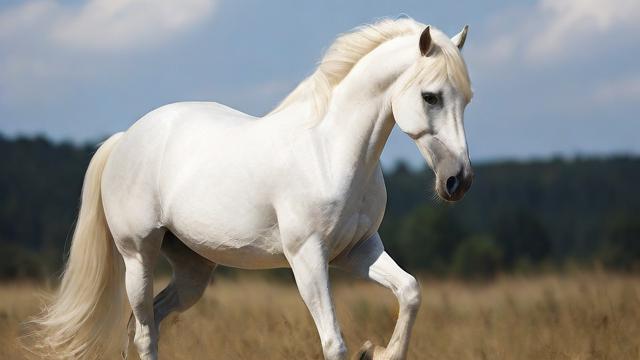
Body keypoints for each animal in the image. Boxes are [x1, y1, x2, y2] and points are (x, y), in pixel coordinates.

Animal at [31, 18, 470, 358]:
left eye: (466, 99)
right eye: (430, 97)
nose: (458, 181)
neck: (329, 151)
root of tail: (126, 138)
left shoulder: (357, 251)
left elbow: (410, 291)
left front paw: (378, 351)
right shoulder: (307, 258)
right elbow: (334, 343)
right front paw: (365, 349)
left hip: (193, 270)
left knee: (150, 322)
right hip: (138, 256)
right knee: (143, 332)